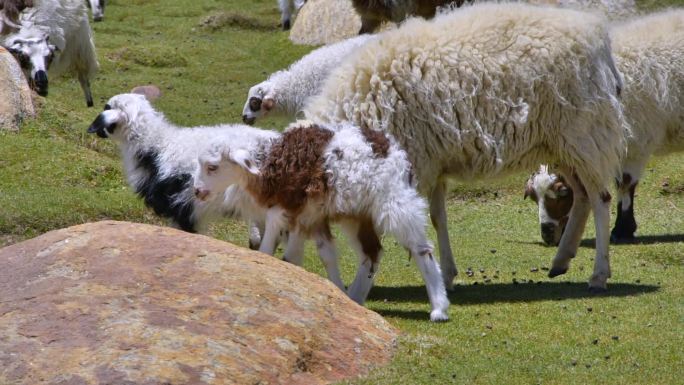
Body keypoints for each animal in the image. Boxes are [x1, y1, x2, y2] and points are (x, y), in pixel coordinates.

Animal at [194, 118, 448, 320]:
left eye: (212, 167)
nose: (197, 191)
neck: (269, 160)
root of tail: (390, 146)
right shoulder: (309, 215)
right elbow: (314, 255)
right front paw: (334, 292)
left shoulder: (284, 208)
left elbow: (269, 249)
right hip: (357, 213)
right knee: (372, 252)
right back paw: (355, 297)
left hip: (394, 200)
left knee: (421, 248)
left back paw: (439, 308)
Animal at [306, 3, 632, 292]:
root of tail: (598, 37)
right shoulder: (431, 163)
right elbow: (437, 218)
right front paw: (447, 274)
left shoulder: (411, 165)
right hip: (561, 143)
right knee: (582, 196)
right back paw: (561, 261)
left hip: (585, 133)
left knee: (600, 199)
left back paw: (599, 275)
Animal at [528, 10, 680, 246]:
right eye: (533, 196)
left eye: (563, 192)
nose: (547, 236)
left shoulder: (636, 142)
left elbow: (624, 183)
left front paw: (622, 229)